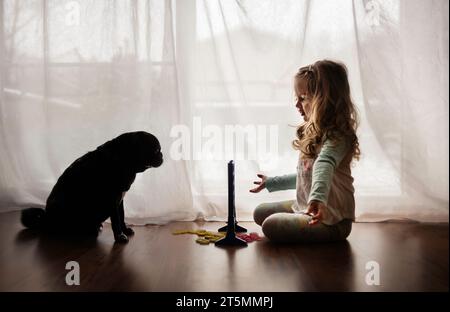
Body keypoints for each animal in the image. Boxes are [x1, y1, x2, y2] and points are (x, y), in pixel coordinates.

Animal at [20, 130, 163, 243]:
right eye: (156, 150)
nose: (162, 155)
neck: (121, 158)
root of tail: (44, 221)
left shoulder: (120, 200)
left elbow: (122, 217)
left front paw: (125, 230)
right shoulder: (112, 200)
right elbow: (116, 221)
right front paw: (120, 237)